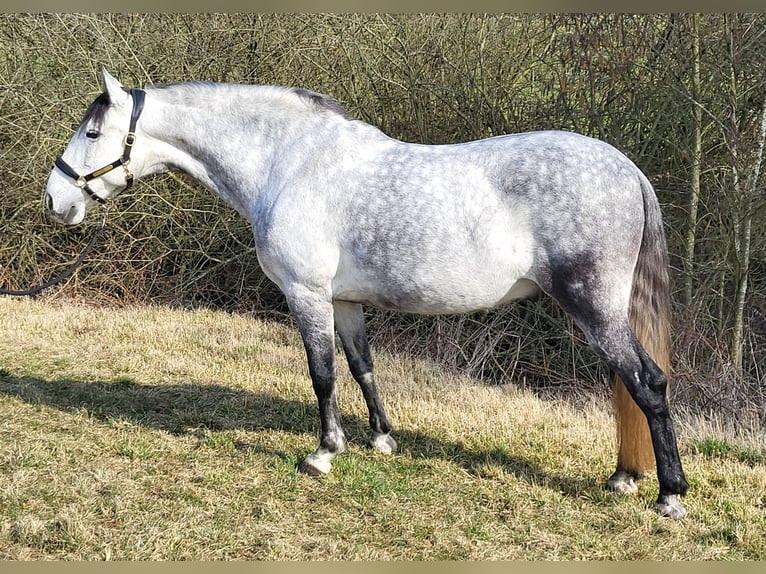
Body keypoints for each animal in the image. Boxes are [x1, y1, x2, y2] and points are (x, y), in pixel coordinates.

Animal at [44, 70, 689, 519]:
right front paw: (381, 438)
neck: (287, 162)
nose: (55, 200)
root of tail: (626, 169)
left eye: (93, 132)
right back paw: (625, 477)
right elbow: (361, 366)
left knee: (648, 383)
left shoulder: (305, 293)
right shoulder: (343, 300)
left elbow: (322, 372)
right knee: (629, 387)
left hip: (595, 308)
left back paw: (668, 494)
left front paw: (324, 453)